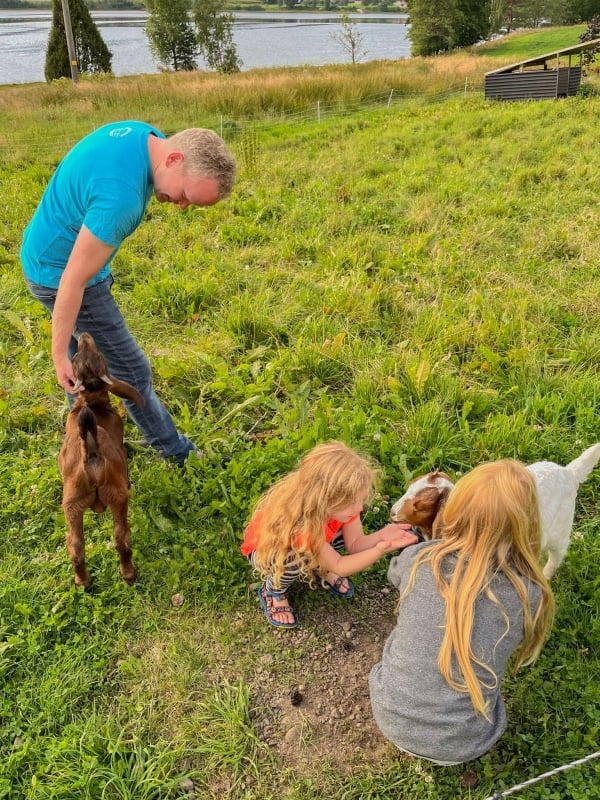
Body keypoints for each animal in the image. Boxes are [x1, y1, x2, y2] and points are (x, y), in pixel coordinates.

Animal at [58, 332, 145, 588]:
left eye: (75, 357)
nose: (85, 335)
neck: (92, 403)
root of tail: (93, 456)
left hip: (74, 504)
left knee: (77, 544)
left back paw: (84, 582)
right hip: (114, 496)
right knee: (119, 537)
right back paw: (126, 574)